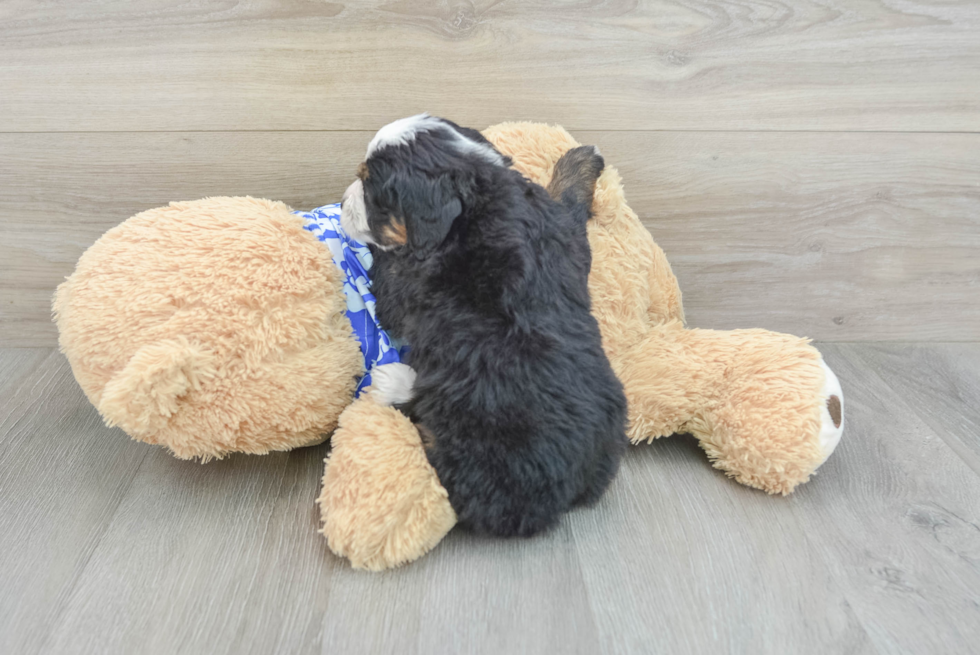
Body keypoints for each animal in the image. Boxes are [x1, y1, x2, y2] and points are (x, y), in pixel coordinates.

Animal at [340, 116, 624, 540]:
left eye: (371, 191)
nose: (342, 201)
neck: (480, 196)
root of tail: (567, 491)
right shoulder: (564, 236)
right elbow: (568, 207)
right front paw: (581, 159)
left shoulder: (403, 287)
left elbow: (385, 265)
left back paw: (391, 385)